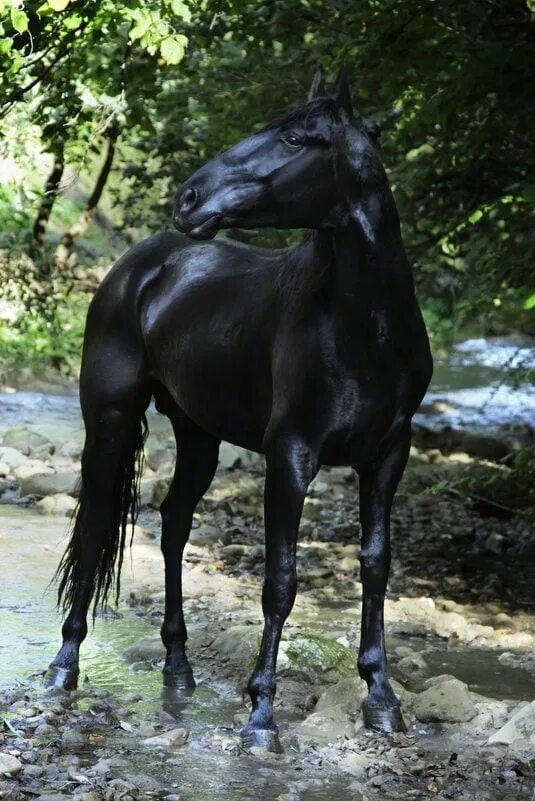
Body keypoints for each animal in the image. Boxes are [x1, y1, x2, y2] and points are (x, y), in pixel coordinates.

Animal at [45, 69, 432, 752]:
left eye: (296, 137)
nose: (190, 197)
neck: (366, 329)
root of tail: (141, 264)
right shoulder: (291, 456)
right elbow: (280, 582)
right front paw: (261, 716)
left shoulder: (389, 455)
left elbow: (376, 565)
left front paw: (382, 698)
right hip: (110, 423)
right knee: (94, 528)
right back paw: (65, 665)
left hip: (198, 435)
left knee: (174, 523)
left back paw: (178, 667)